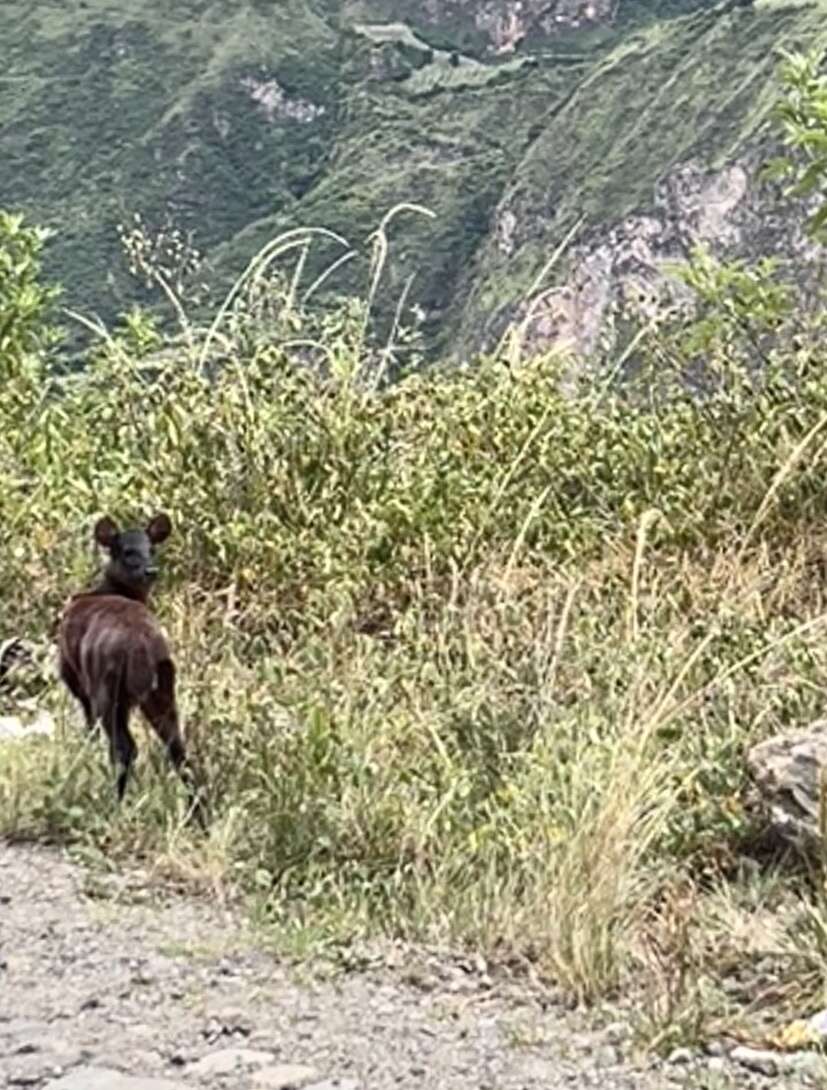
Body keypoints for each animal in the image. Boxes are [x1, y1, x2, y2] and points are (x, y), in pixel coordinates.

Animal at [56, 510, 205, 824]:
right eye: (128, 551)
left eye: (152, 549)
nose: (151, 570)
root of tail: (143, 650)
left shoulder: (72, 676)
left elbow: (89, 730)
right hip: (162, 689)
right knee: (177, 748)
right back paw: (198, 816)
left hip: (107, 687)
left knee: (124, 747)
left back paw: (115, 806)